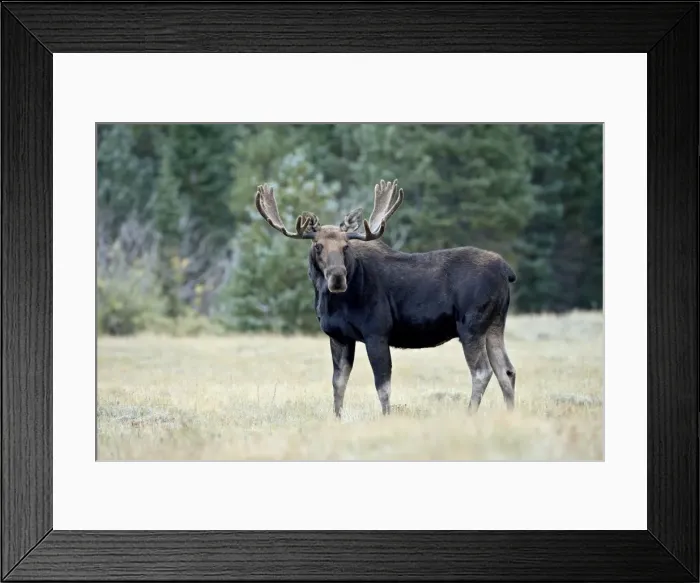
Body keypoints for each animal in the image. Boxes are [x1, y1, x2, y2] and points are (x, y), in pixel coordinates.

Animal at [254, 178, 517, 419]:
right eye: (318, 246)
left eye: (346, 246)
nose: (337, 277)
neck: (333, 303)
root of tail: (506, 270)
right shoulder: (339, 337)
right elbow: (338, 383)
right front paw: (337, 417)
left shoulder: (377, 332)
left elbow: (383, 385)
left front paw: (386, 416)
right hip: (495, 324)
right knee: (506, 370)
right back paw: (510, 414)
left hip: (471, 325)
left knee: (482, 371)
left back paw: (470, 413)